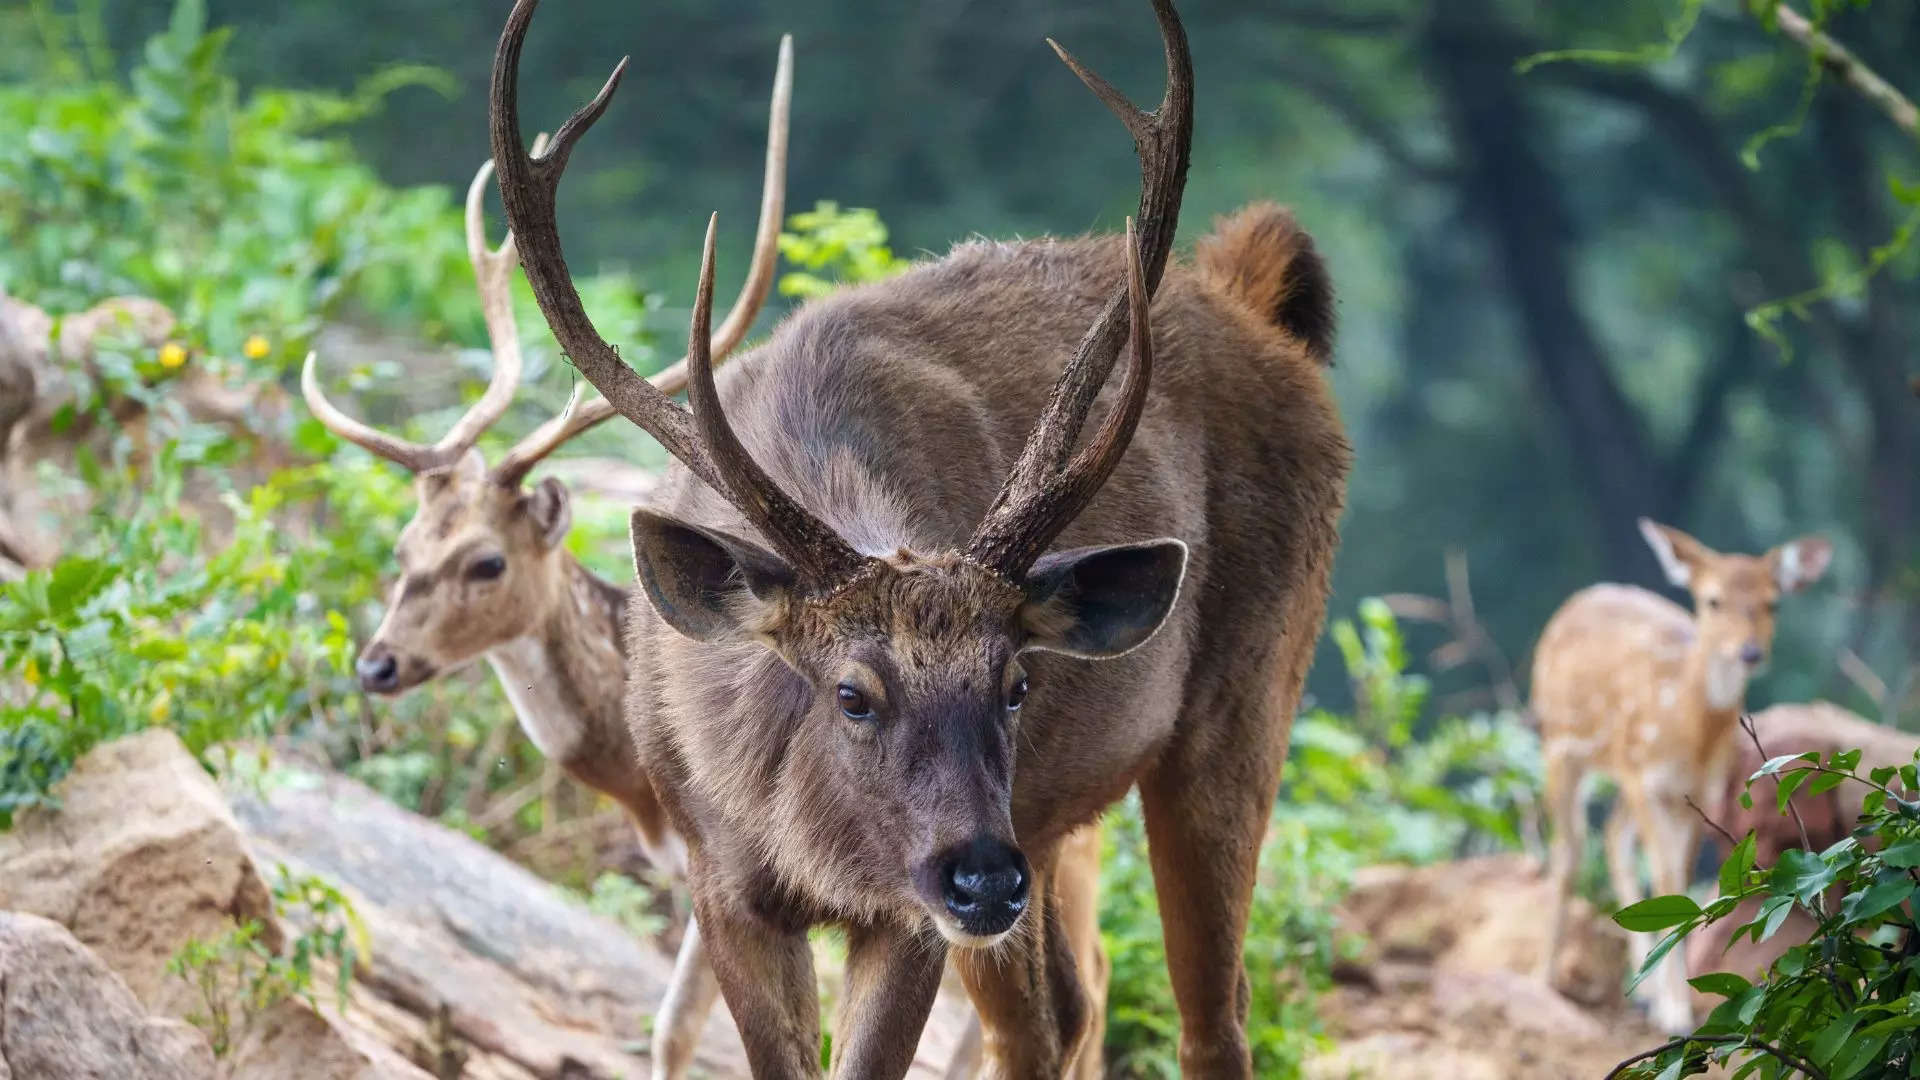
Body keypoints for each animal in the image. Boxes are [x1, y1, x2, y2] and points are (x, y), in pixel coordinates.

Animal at [487, 2, 1344, 1068]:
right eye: (852, 694)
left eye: (1016, 684)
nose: (979, 878)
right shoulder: (719, 880)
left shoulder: (909, 916)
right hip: (1048, 831)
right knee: (1063, 1013)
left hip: (1238, 701)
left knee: (1210, 1019)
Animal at [1536, 522, 1835, 1037]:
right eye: (1712, 600)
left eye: (1773, 602)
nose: (1750, 652)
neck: (1686, 730)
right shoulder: (1642, 774)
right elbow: (1665, 874)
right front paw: (1675, 1013)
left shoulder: (1699, 791)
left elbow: (1679, 871)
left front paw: (1669, 1003)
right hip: (1560, 744)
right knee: (1569, 849)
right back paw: (1548, 976)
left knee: (1611, 835)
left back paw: (1642, 989)